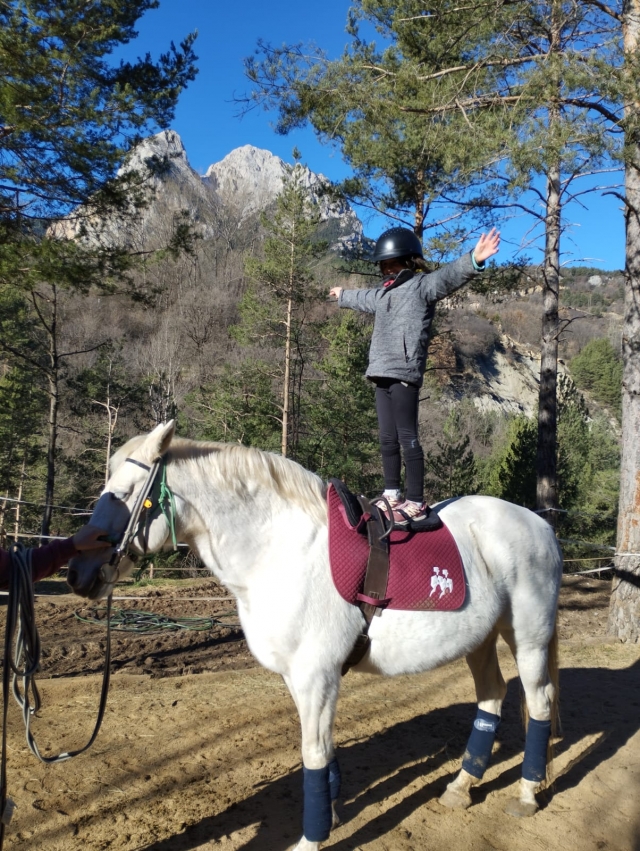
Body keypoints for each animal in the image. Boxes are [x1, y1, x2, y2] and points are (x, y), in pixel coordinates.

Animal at [67, 421, 562, 851]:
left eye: (123, 494)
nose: (78, 573)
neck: (280, 552)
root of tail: (541, 525)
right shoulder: (298, 677)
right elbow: (325, 754)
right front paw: (333, 814)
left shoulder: (316, 676)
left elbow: (313, 755)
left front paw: (312, 838)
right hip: (480, 639)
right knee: (492, 697)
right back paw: (462, 785)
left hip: (529, 635)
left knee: (538, 702)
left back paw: (526, 793)